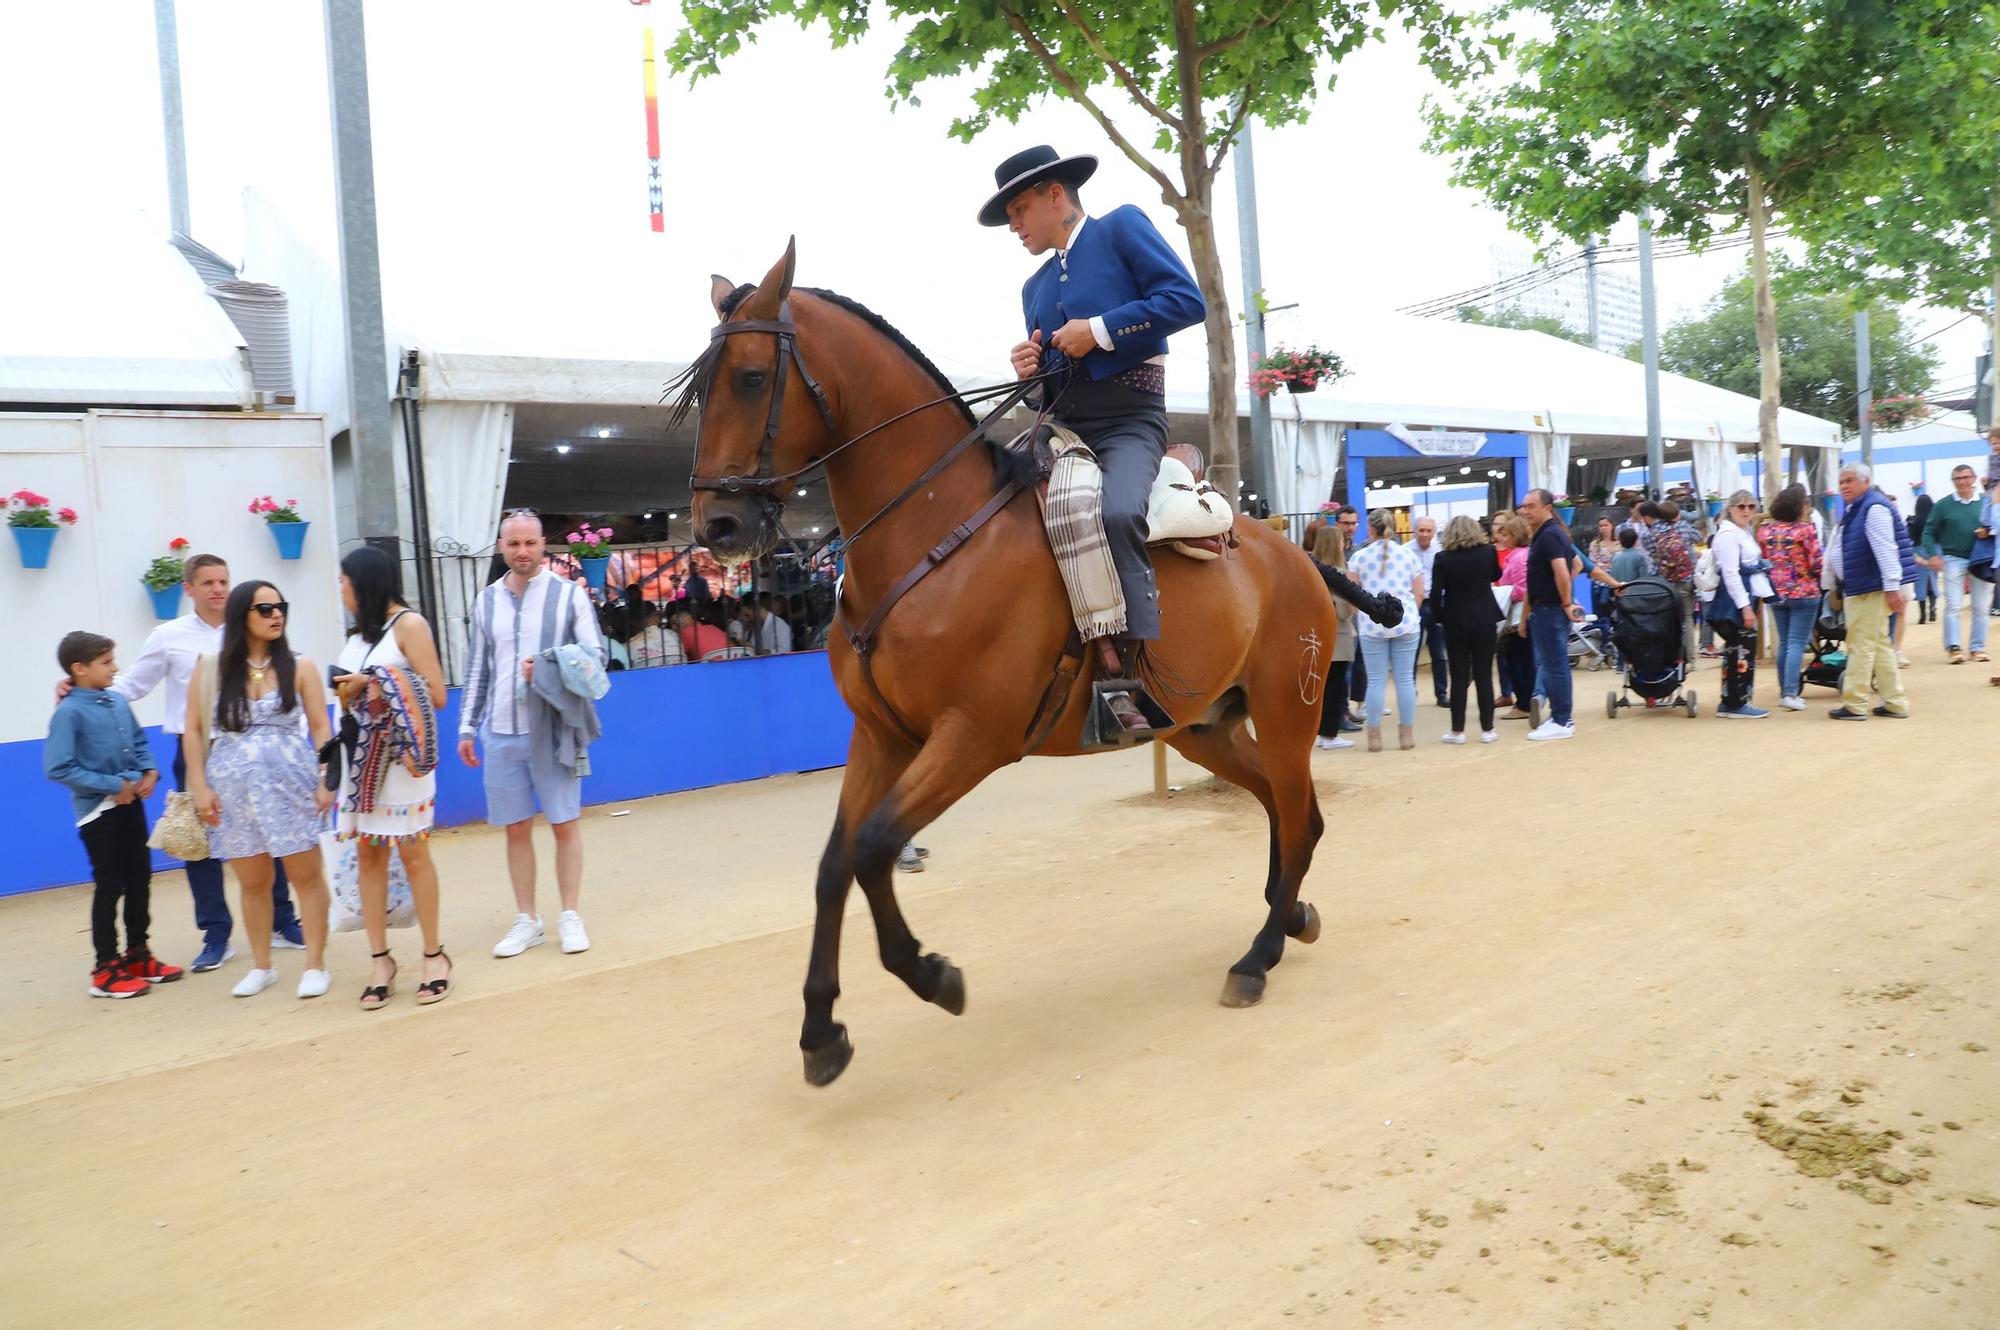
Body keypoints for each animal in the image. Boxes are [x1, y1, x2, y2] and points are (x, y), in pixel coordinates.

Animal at [676, 241, 1344, 1088]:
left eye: (752, 376)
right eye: (702, 386)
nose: (718, 526)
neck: (932, 533)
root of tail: (1292, 551)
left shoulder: (974, 737)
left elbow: (874, 847)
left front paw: (930, 974)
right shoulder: (881, 737)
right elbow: (834, 863)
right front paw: (821, 1030)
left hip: (1289, 712)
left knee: (1298, 816)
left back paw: (1257, 956)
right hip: (1203, 727)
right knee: (1287, 815)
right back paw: (1287, 919)